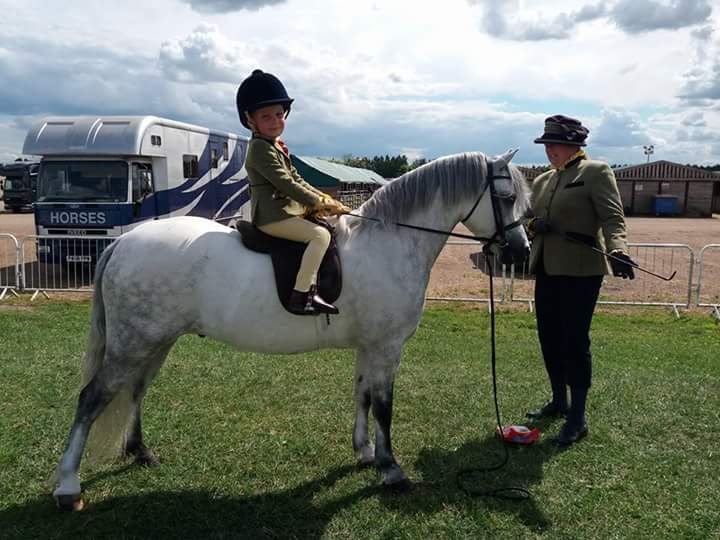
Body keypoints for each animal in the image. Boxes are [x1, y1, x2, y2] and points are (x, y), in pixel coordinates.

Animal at [51, 150, 530, 510]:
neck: (390, 241)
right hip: (133, 343)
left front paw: (364, 454)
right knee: (91, 398)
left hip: (155, 340)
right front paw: (391, 469)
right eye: (506, 197)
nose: (519, 252)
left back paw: (140, 452)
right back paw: (68, 486)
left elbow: (361, 396)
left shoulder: (368, 347)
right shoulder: (387, 347)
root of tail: (122, 242)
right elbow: (383, 406)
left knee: (135, 390)